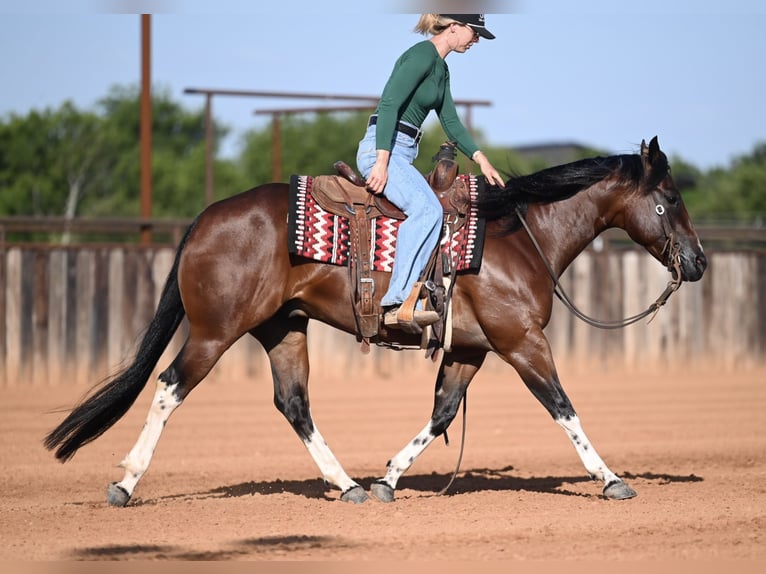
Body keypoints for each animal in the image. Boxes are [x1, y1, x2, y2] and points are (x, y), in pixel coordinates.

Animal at [44, 136, 707, 506]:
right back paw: (126, 483)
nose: (698, 261)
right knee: (168, 389)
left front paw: (390, 476)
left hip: (283, 329)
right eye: (671, 198)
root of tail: (205, 218)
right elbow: (563, 406)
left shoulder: (470, 349)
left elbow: (442, 414)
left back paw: (350, 485)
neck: (520, 236)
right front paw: (610, 478)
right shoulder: (521, 341)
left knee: (294, 404)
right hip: (214, 332)